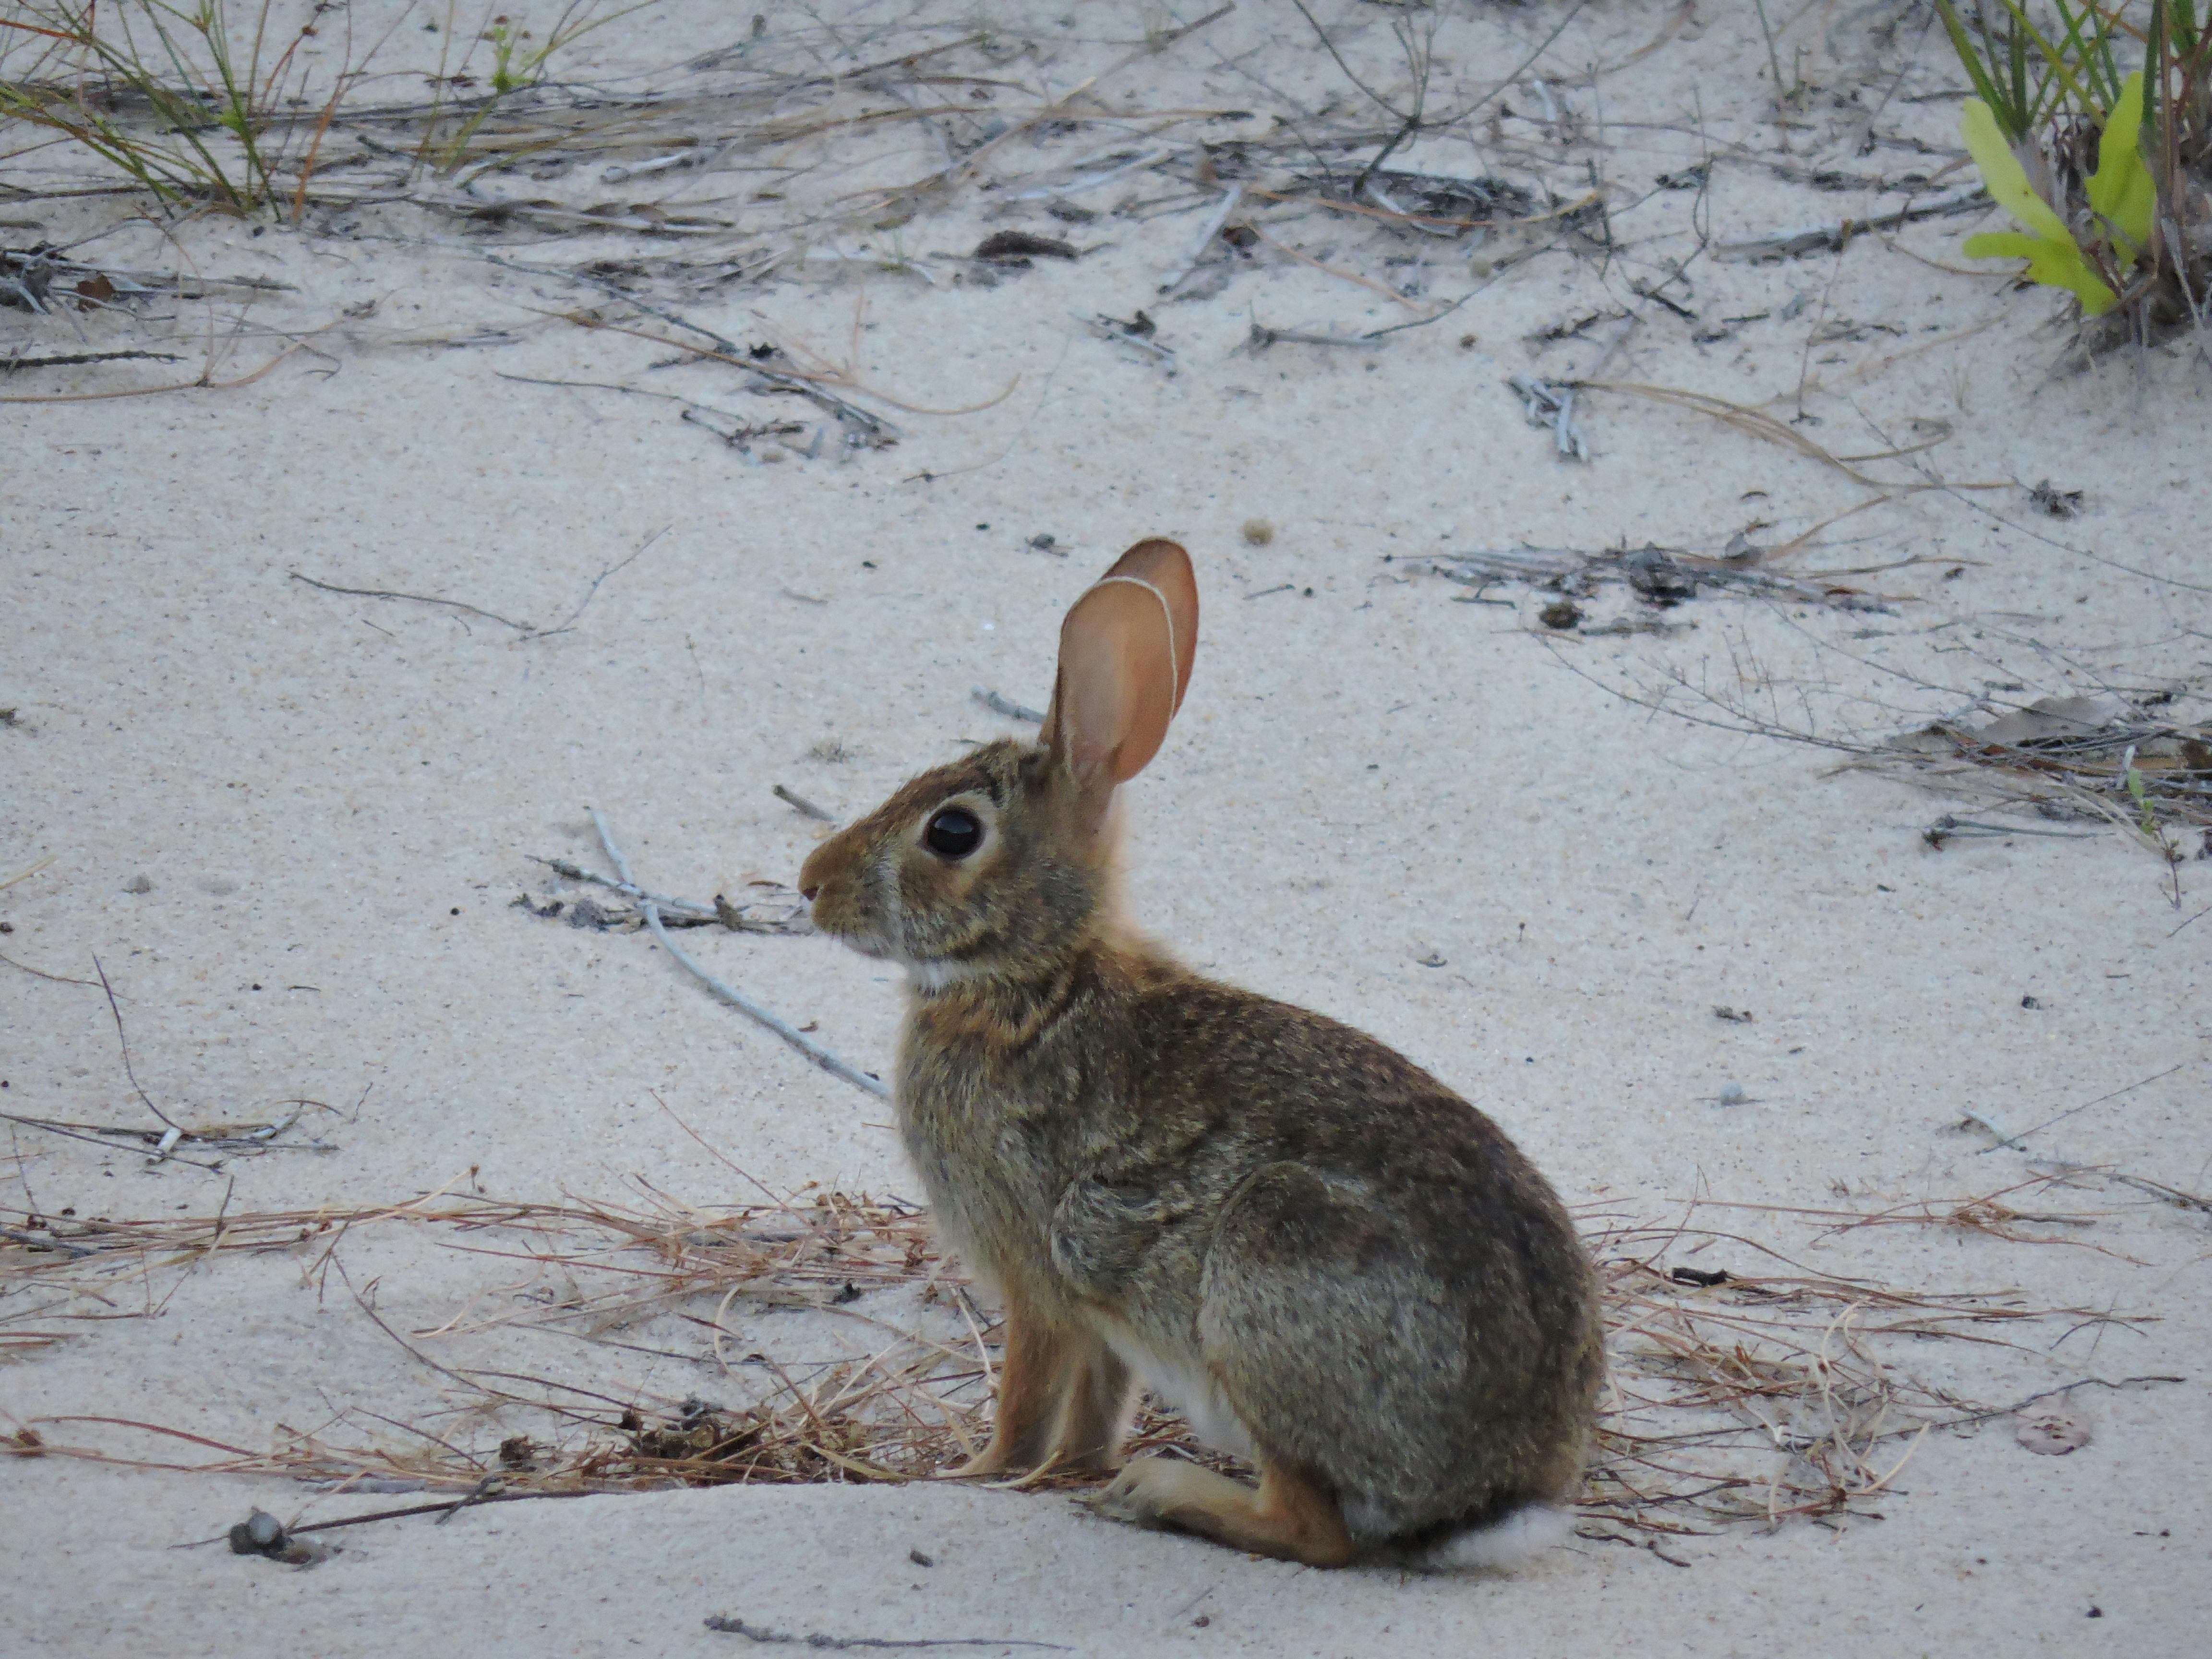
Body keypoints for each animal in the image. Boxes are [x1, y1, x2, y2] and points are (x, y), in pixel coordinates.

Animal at [796, 539, 1603, 1570]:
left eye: (951, 831)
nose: (810, 882)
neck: (1035, 979)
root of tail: (1501, 1494)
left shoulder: (1033, 1272)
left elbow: (1025, 1400)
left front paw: (976, 1475)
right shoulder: (1101, 1323)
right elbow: (1090, 1412)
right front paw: (1067, 1471)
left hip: (1267, 1280)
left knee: (1314, 1528)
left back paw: (1165, 1493)